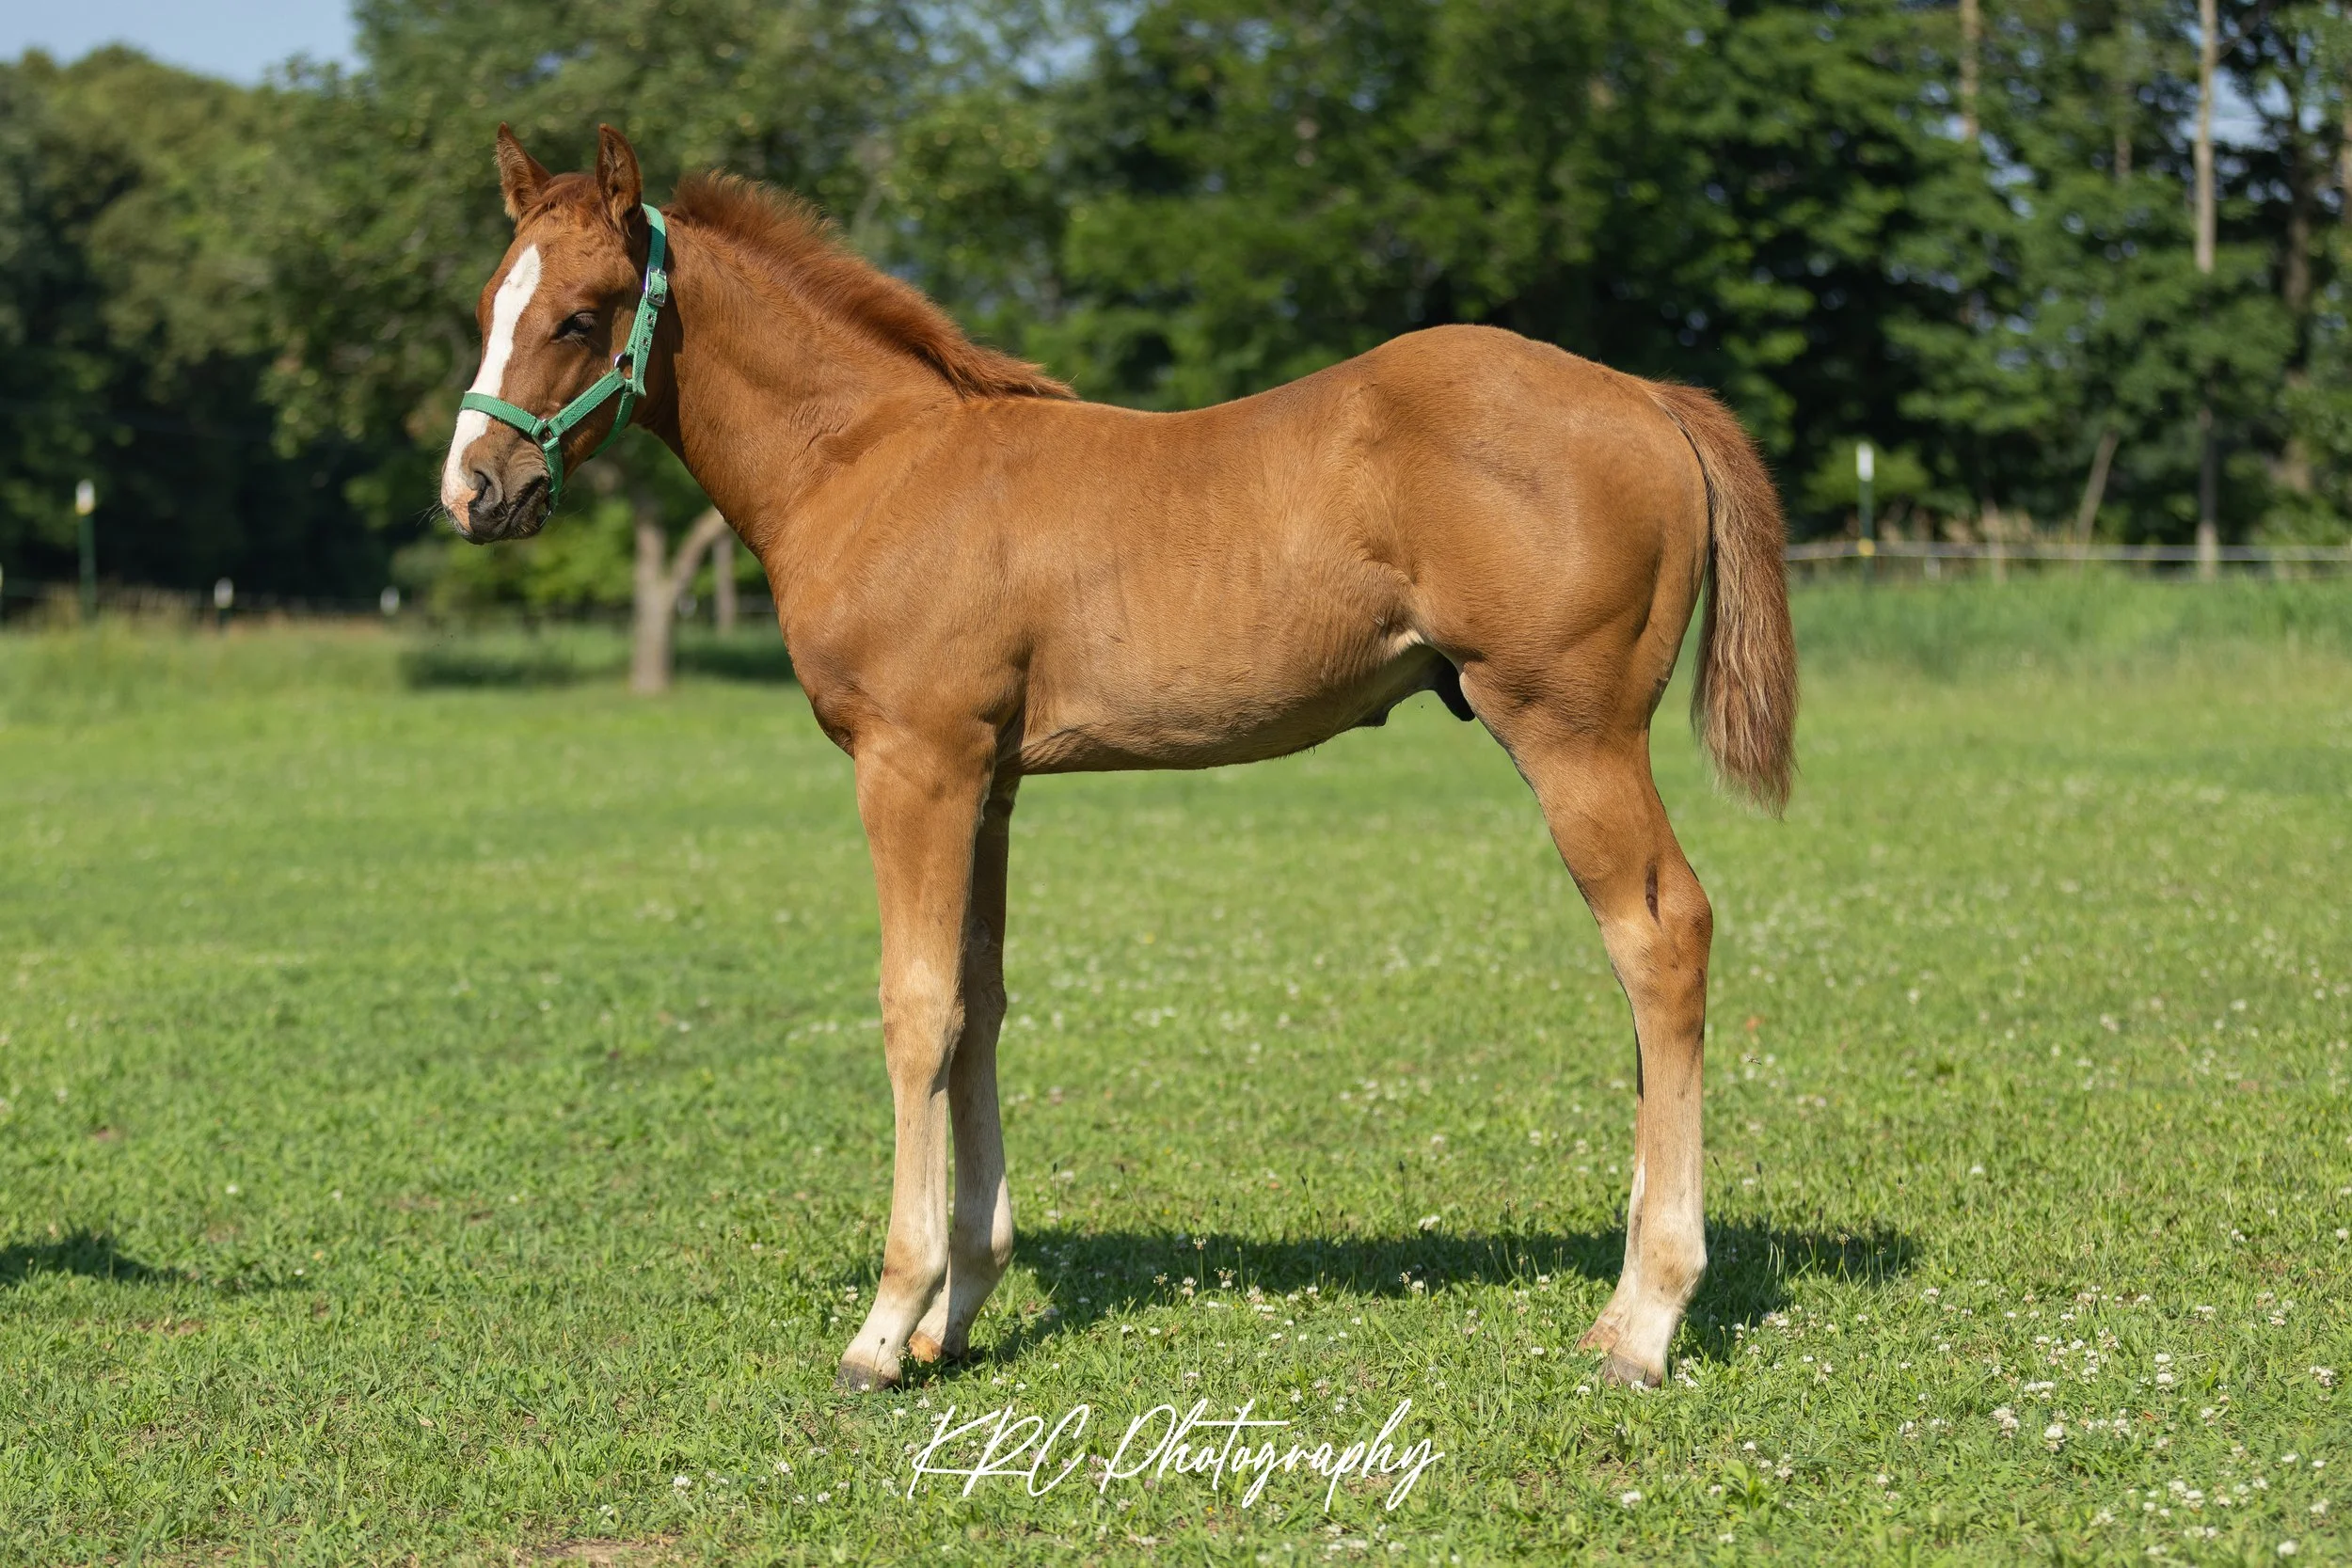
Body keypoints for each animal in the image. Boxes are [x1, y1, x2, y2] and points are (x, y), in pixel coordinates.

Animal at [440, 125, 1796, 1392]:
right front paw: (957, 1308)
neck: (874, 461)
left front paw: (885, 1322)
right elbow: (978, 1001)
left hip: (1571, 732)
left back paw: (1647, 1317)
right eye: (486, 305)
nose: (473, 491)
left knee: (1661, 936)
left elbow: (914, 1007)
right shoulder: (987, 782)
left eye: (580, 314)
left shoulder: (912, 764)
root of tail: (1644, 394)